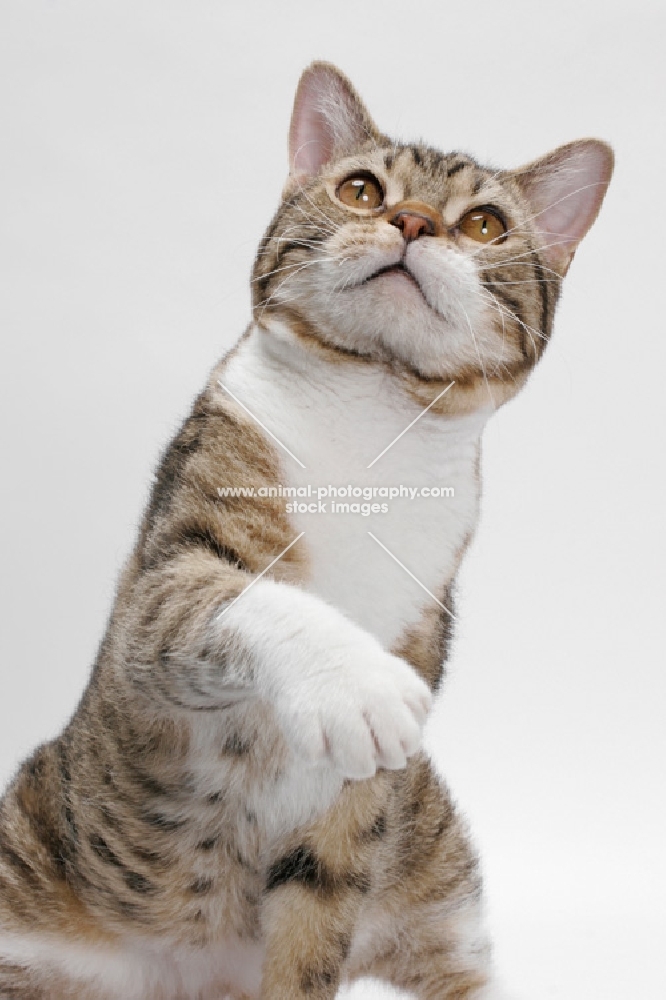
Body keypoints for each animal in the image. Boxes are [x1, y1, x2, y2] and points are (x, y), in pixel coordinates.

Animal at [0, 62, 612, 1000]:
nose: (413, 220)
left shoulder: (361, 798)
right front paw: (355, 684)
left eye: (484, 224)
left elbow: (318, 910)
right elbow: (240, 595)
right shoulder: (157, 596)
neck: (370, 422)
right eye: (361, 189)